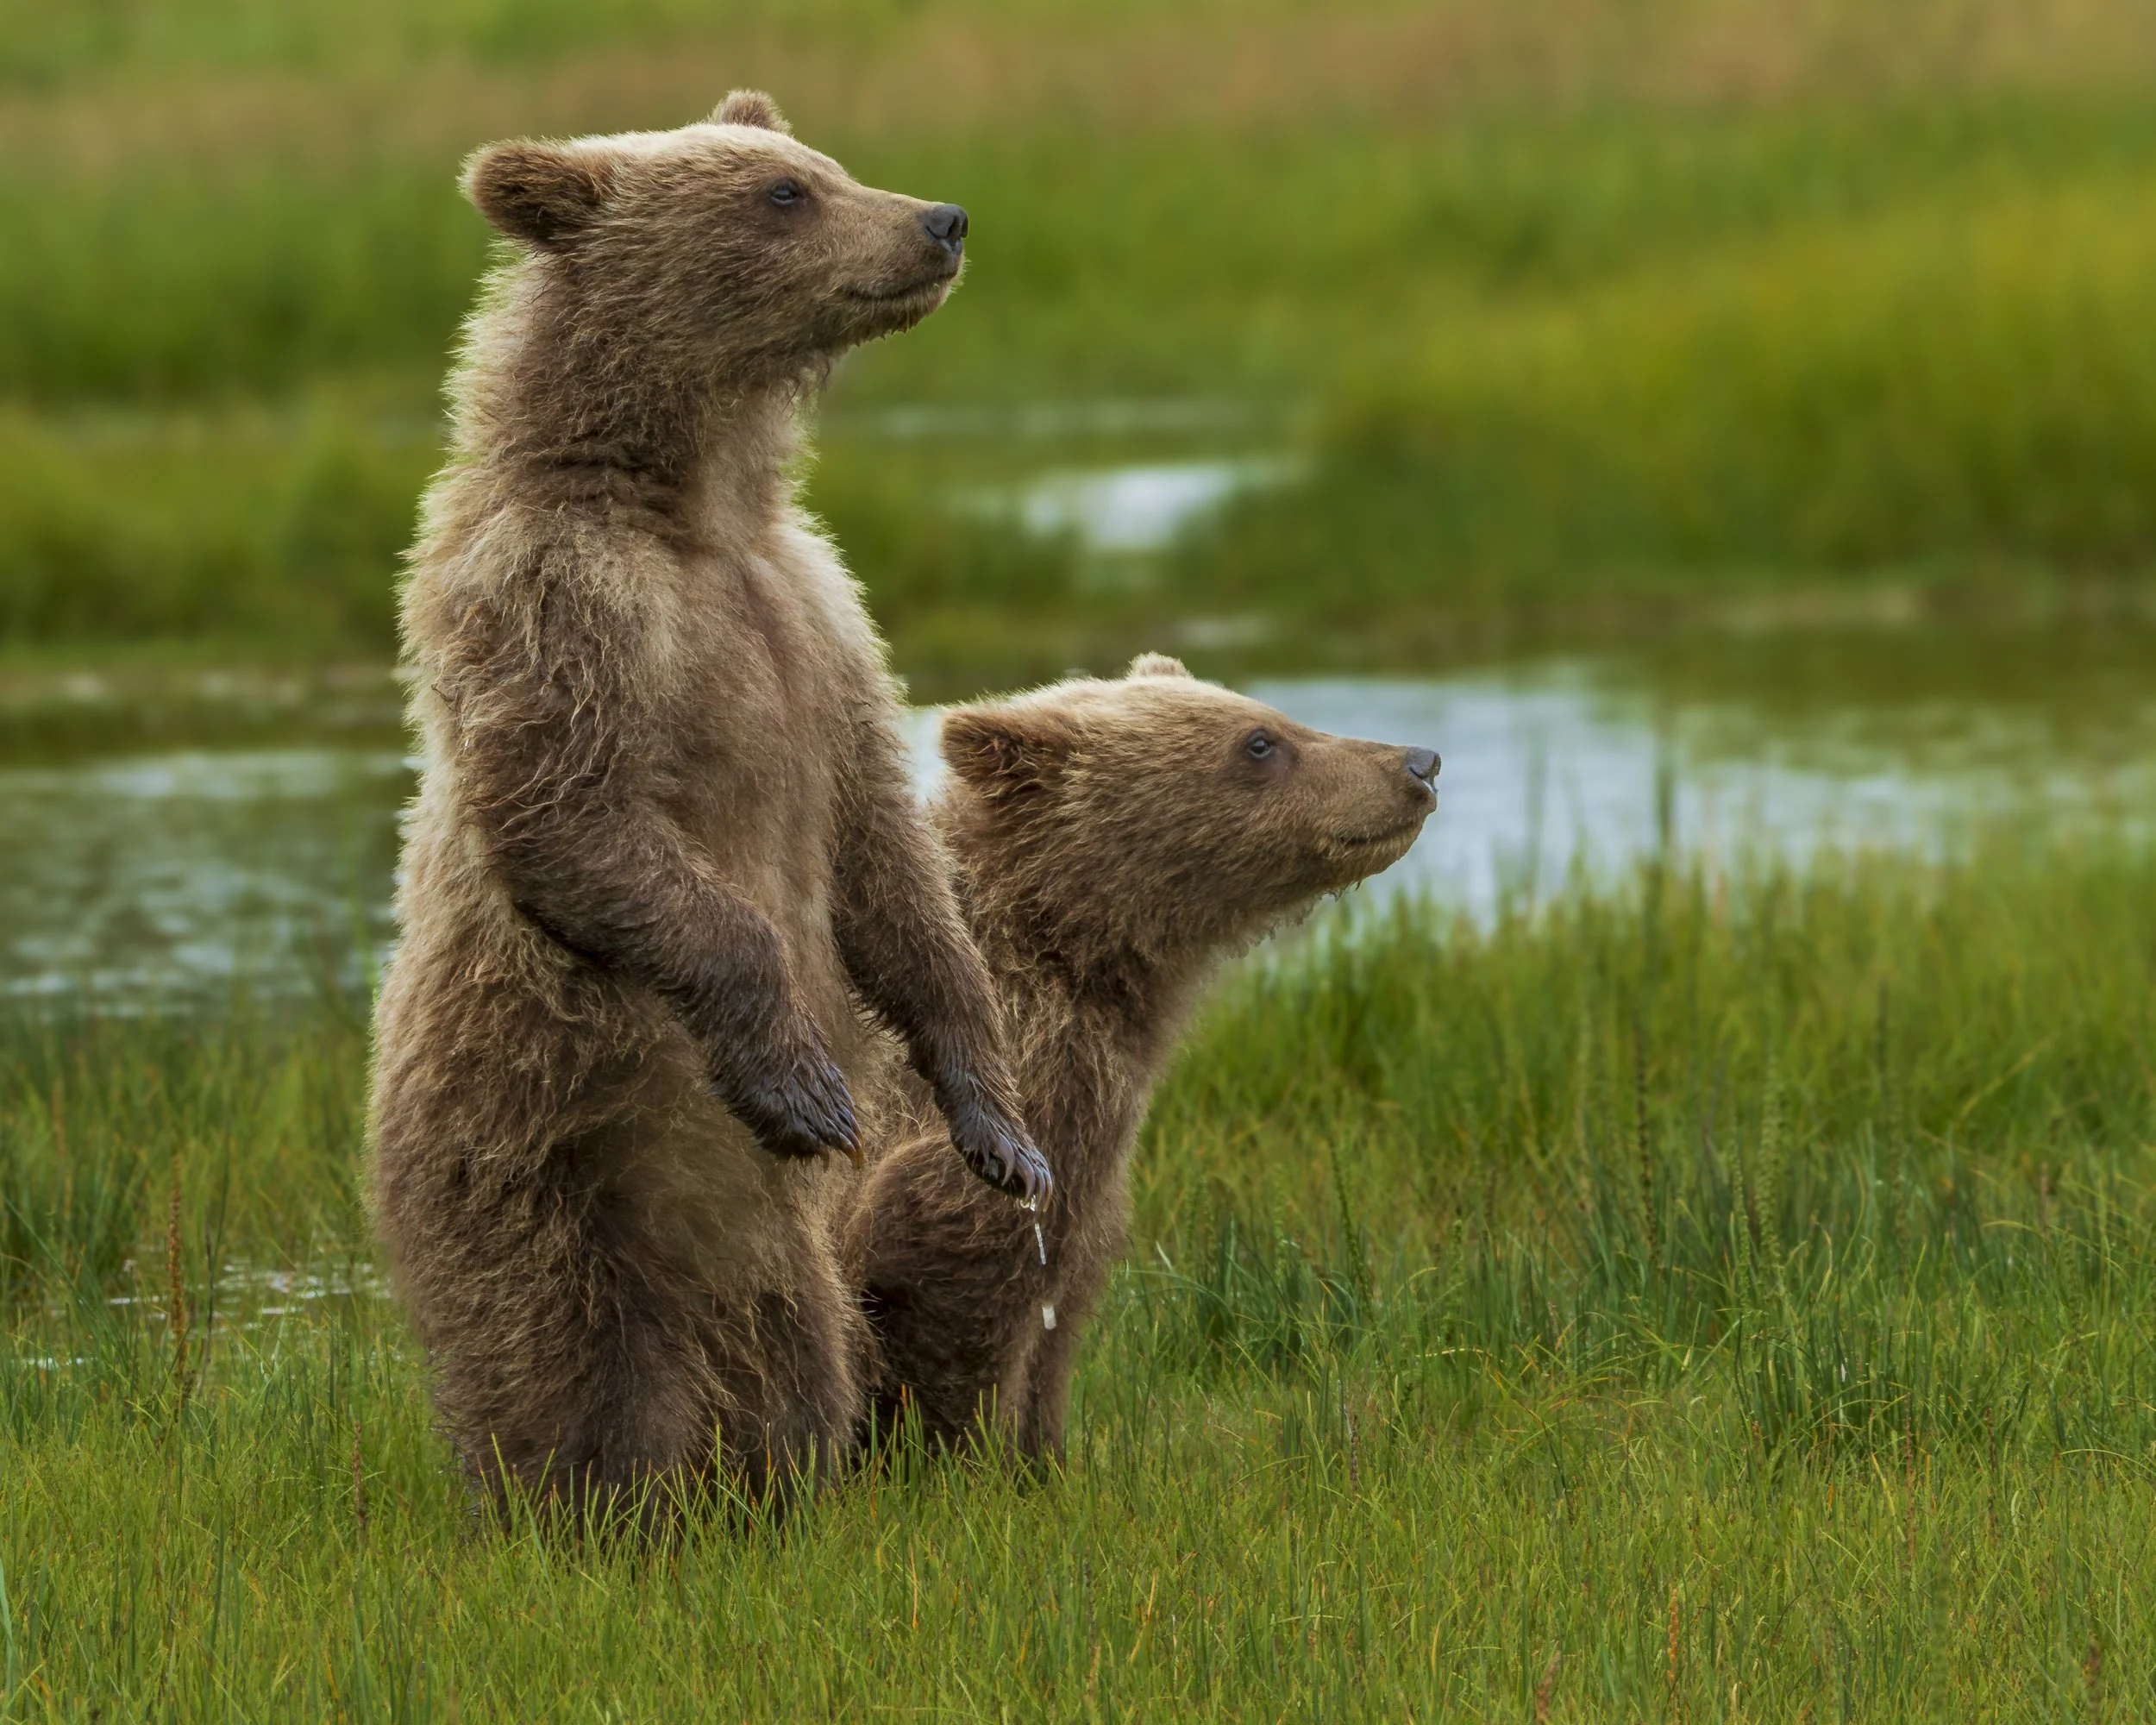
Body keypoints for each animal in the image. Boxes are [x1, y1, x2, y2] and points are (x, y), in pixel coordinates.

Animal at [367, 90, 1048, 1520]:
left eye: (821, 164)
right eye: (782, 196)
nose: (942, 220)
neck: (695, 503)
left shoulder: (818, 618)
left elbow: (884, 855)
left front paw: (1000, 1132)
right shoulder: (564, 603)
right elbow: (573, 810)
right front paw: (804, 1082)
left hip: (758, 1242)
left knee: (789, 1344)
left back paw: (774, 1483)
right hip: (539, 1136)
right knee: (557, 1342)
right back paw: (581, 1504)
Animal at [841, 654, 1438, 1462]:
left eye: (1275, 716)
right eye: (1259, 742)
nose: (1418, 763)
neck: (1071, 946)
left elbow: (1062, 1306)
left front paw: (1048, 1454)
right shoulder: (1020, 1079)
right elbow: (959, 1270)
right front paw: (967, 1463)